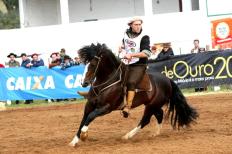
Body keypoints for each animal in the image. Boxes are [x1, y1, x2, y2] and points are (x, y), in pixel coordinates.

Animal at [69, 43, 198, 147]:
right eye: (84, 64)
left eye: (92, 64)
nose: (84, 83)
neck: (107, 82)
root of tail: (168, 80)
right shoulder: (89, 105)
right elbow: (83, 120)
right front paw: (74, 141)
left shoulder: (107, 108)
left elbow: (90, 117)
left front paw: (84, 135)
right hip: (152, 105)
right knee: (159, 114)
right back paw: (155, 133)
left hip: (151, 106)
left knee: (145, 121)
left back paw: (127, 136)